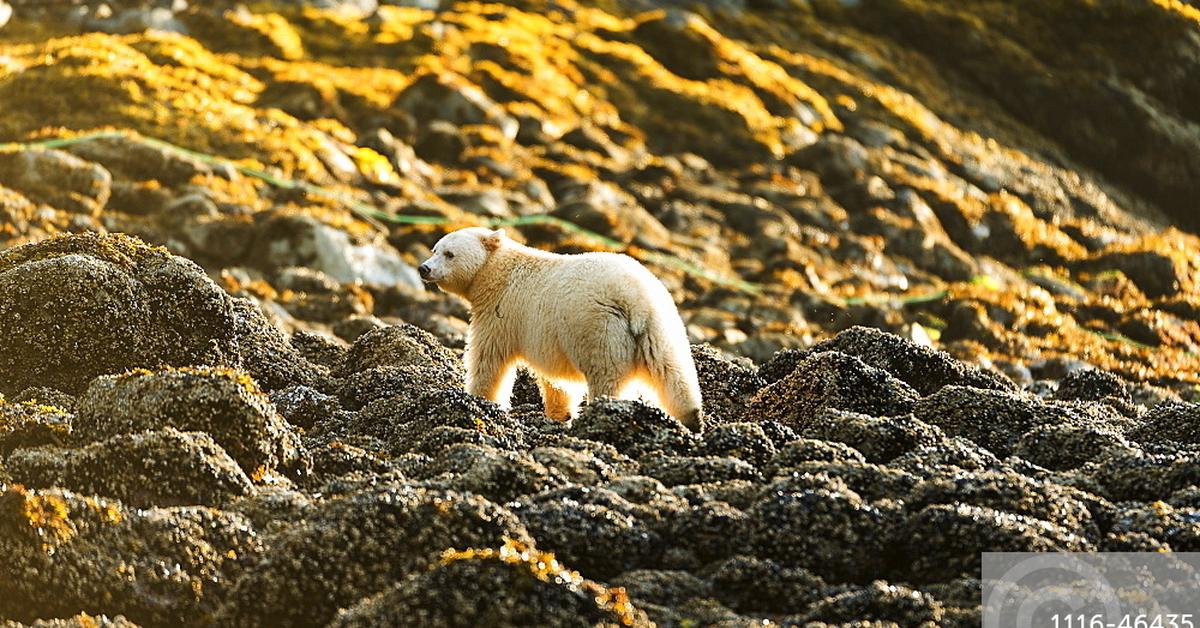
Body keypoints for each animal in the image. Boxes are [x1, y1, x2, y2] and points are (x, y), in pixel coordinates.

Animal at [420, 226, 700, 432]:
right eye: (434, 249)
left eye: (449, 253)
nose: (424, 268)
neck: (496, 273)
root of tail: (634, 297)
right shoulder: (544, 334)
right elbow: (557, 378)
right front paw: (560, 414)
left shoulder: (502, 314)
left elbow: (489, 360)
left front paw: (480, 400)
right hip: (660, 327)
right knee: (672, 370)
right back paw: (692, 418)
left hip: (599, 328)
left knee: (606, 376)